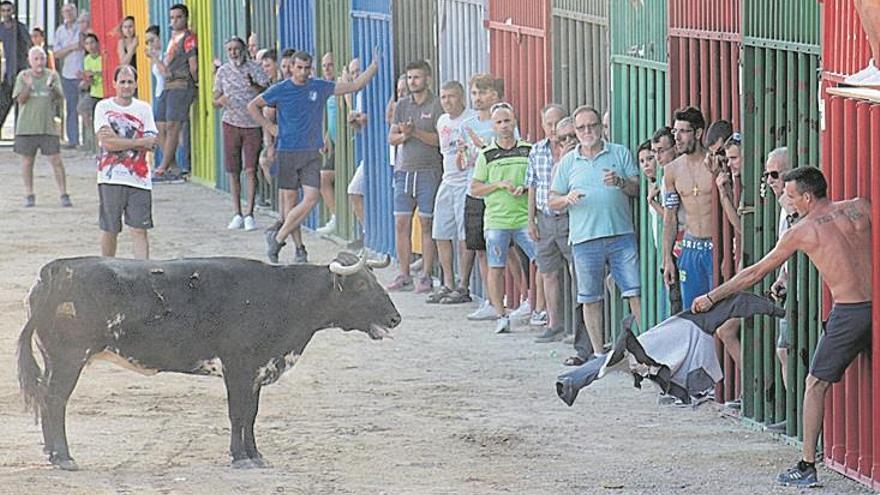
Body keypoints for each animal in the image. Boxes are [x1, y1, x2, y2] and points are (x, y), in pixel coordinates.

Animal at [18, 254, 402, 470]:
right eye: (362, 285)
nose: (396, 318)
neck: (281, 296)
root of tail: (55, 271)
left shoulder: (256, 371)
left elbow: (251, 414)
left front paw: (255, 455)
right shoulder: (239, 368)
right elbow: (238, 414)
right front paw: (241, 458)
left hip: (55, 360)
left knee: (47, 400)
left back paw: (52, 453)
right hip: (68, 358)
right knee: (55, 401)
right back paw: (64, 457)